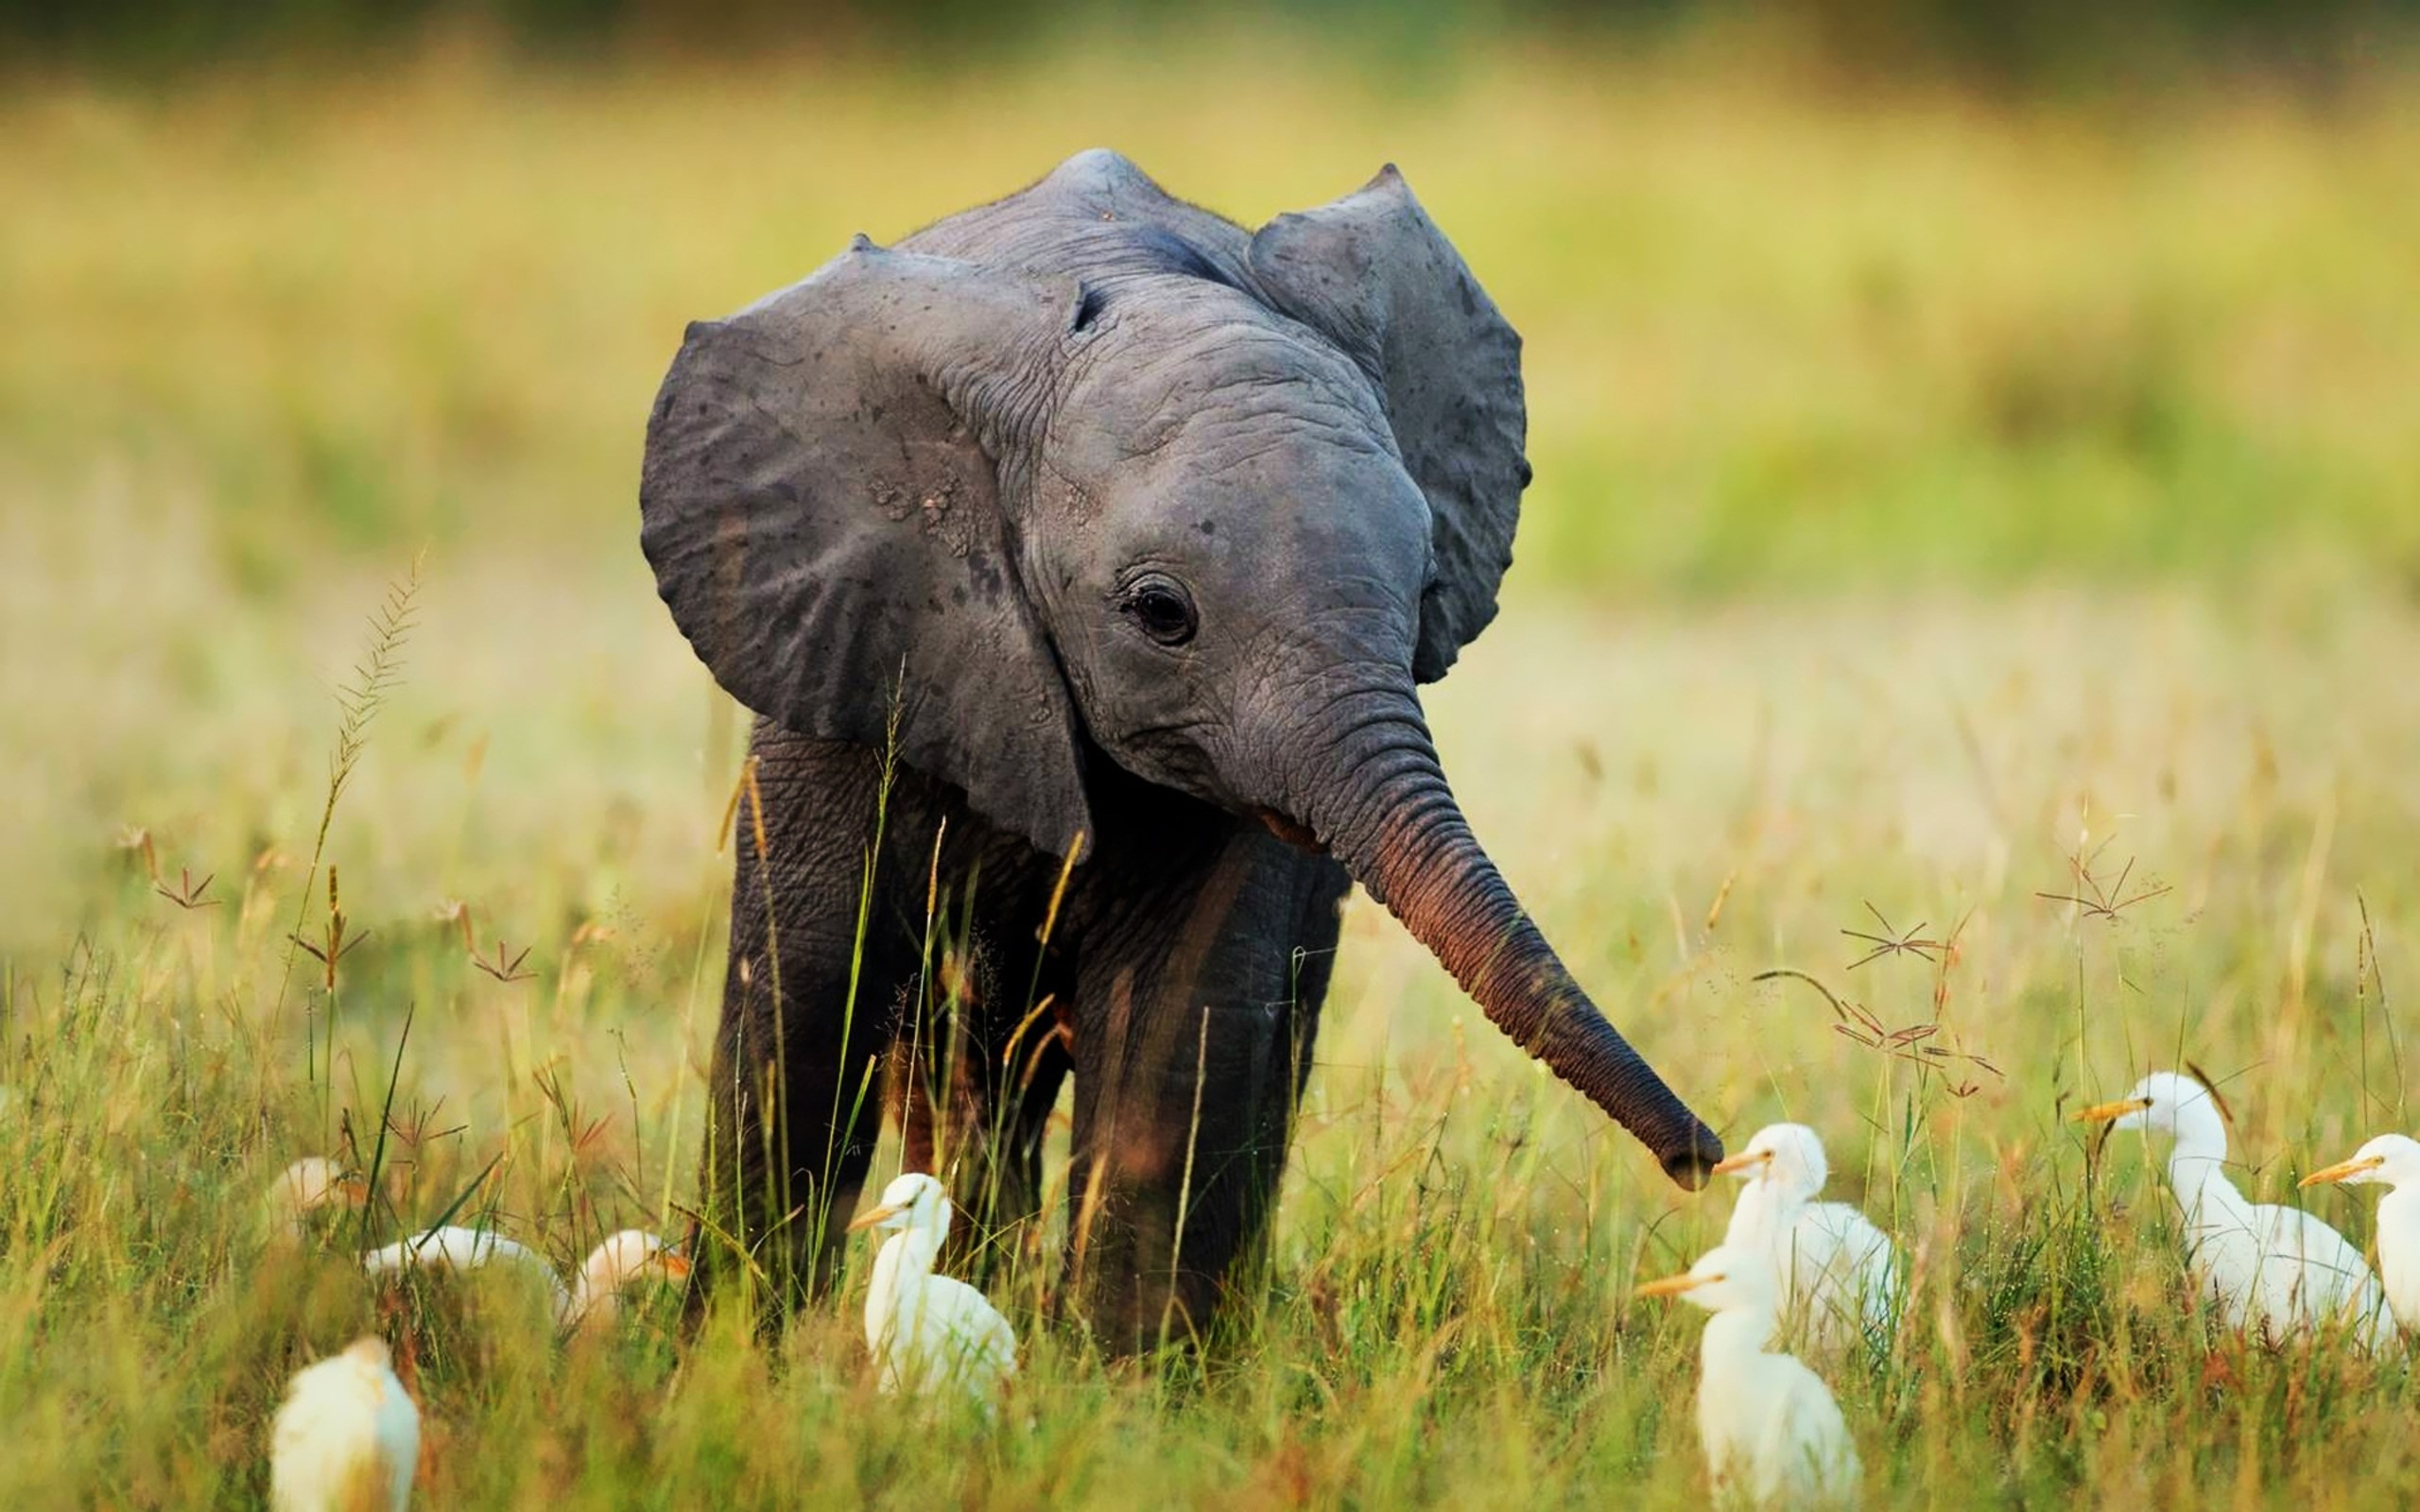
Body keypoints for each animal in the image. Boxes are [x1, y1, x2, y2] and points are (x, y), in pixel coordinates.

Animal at [633, 147, 1713, 1354]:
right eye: (1161, 614)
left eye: (1428, 587)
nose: (1701, 1161)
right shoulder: (847, 640)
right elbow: (807, 997)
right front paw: (728, 1361)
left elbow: (1179, 1024)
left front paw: (1127, 1386)